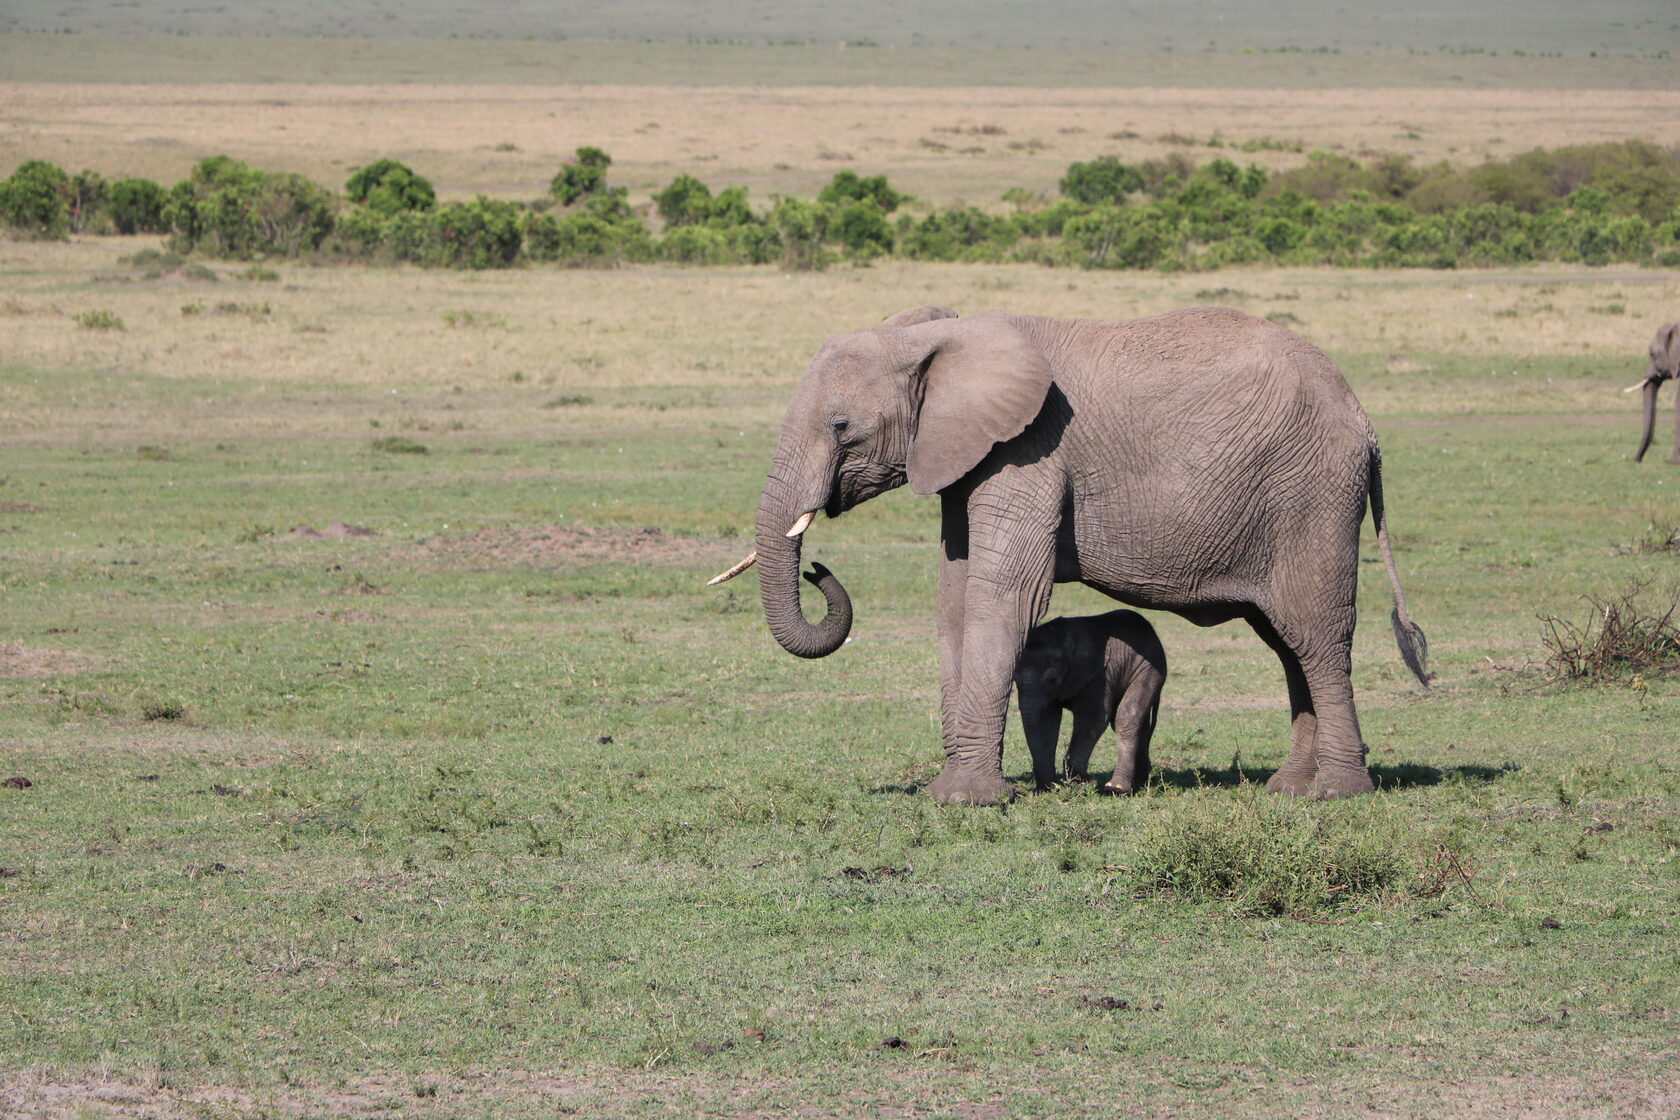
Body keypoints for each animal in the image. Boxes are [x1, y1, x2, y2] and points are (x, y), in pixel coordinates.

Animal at [1015, 610, 1166, 794]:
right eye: (1014, 680)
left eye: (1052, 679)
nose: (1051, 786)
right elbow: (1046, 722)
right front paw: (1050, 787)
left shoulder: (1099, 673)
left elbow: (1093, 718)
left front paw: (1087, 782)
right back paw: (1140, 783)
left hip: (1149, 668)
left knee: (1126, 717)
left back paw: (1117, 788)